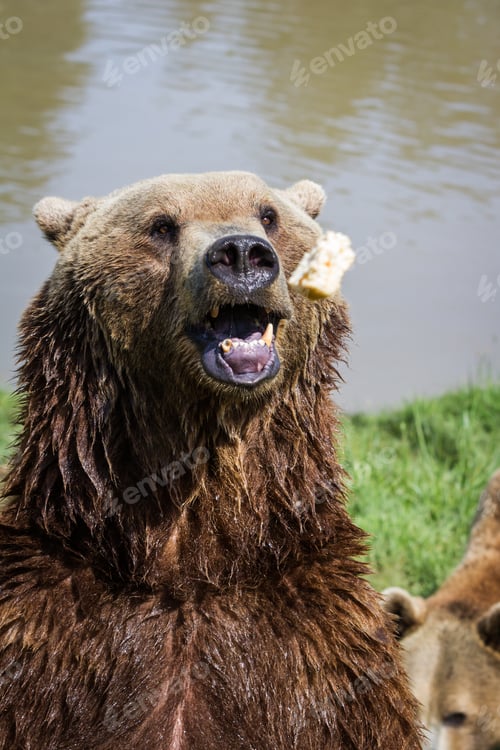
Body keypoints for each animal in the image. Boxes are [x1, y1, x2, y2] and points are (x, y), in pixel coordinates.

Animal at [0, 171, 422, 749]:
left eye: (269, 215)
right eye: (161, 225)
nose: (241, 254)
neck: (194, 567)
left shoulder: (326, 666)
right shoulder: (47, 646)